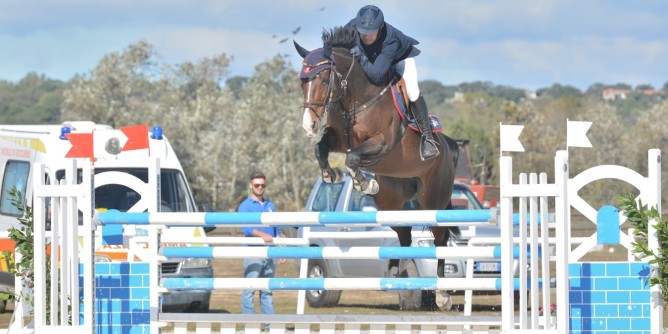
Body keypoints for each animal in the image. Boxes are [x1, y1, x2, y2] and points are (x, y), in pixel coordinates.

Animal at [294, 27, 462, 312]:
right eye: (302, 81)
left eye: (325, 79)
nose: (308, 126)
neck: (355, 97)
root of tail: (448, 146)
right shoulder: (338, 139)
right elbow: (321, 148)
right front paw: (331, 174)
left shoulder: (382, 143)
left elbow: (353, 158)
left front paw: (364, 182)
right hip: (391, 201)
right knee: (405, 234)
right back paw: (403, 280)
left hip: (433, 198)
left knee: (440, 239)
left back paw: (442, 295)